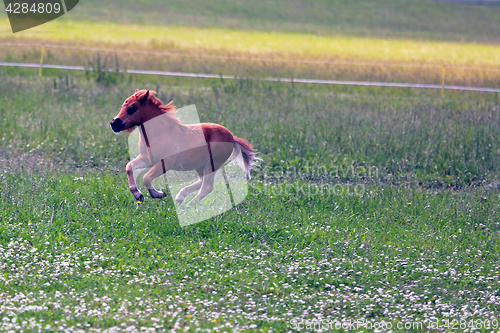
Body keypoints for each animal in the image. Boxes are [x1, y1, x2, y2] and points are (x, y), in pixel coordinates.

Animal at [110, 89, 262, 204]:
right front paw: (138, 195)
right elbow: (129, 167)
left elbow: (146, 178)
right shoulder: (147, 159)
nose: (114, 123)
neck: (159, 134)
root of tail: (232, 137)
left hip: (212, 164)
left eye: (132, 108)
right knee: (202, 181)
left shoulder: (165, 163)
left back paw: (190, 205)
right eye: (123, 105)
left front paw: (157, 194)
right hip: (201, 165)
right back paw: (180, 197)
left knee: (207, 186)